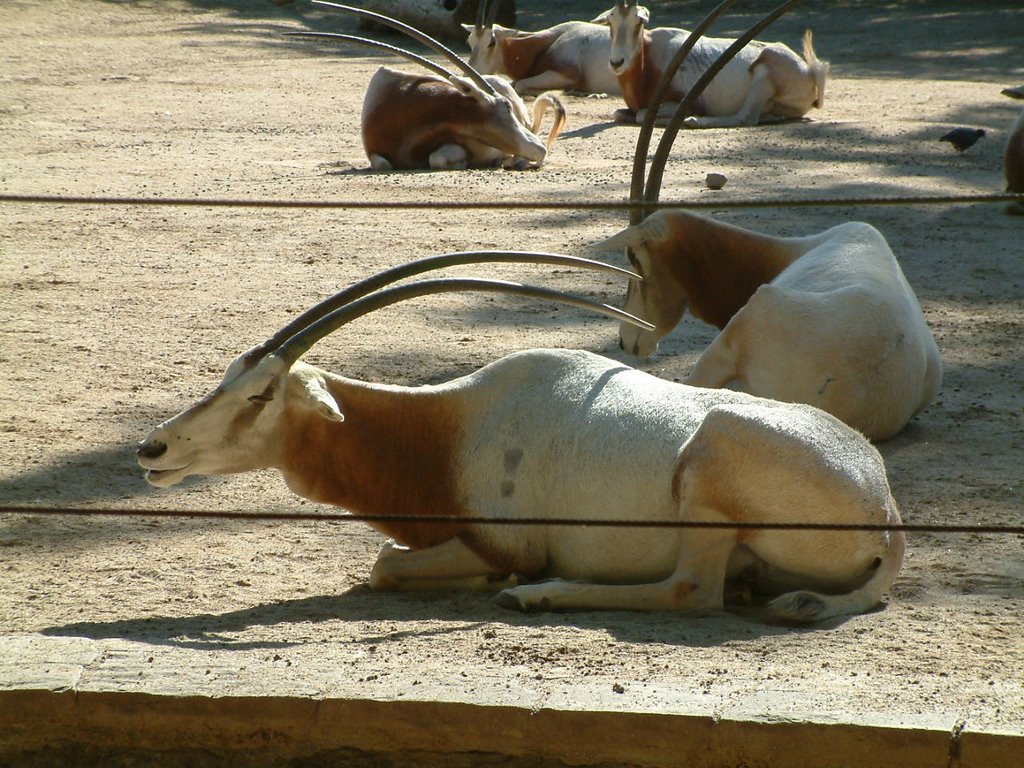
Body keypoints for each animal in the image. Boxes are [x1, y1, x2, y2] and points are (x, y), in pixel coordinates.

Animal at [138, 249, 905, 622]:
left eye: (260, 394)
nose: (153, 448)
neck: (445, 429)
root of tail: (887, 514)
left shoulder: (502, 539)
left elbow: (384, 563)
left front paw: (504, 581)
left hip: (711, 463)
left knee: (691, 590)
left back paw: (539, 597)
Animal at [466, 0, 622, 95]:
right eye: (470, 41)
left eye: (491, 42)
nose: (469, 74)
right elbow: (514, 83)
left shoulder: (568, 75)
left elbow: (519, 84)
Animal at [598, 0, 827, 126]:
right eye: (610, 21)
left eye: (638, 21)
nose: (617, 62)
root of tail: (810, 71)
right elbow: (619, 114)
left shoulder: (679, 102)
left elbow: (641, 115)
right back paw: (772, 117)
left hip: (763, 74)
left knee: (746, 118)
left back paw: (694, 121)